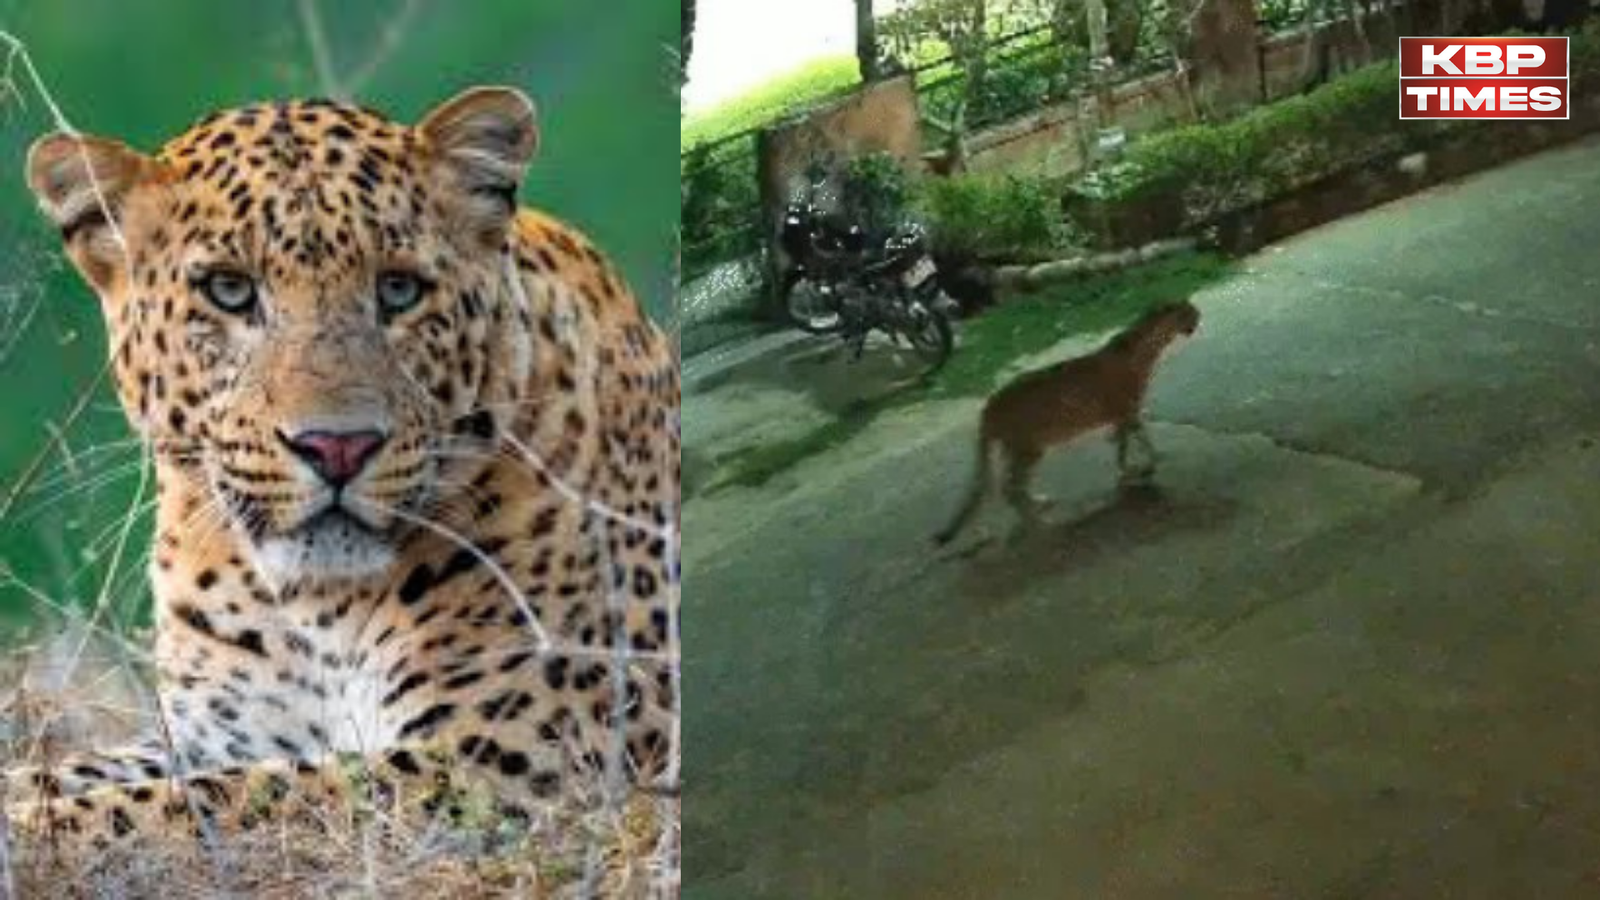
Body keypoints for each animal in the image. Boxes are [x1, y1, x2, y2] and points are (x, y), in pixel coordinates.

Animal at [10, 85, 679, 850]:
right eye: (229, 290)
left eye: (399, 290)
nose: (337, 448)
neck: (307, 608)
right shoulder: (214, 733)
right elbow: (79, 774)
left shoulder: (508, 759)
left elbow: (218, 800)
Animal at [933, 300, 1199, 545]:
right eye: (1186, 311)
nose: (1198, 316)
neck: (1150, 343)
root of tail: (989, 404)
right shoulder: (1128, 412)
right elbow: (1140, 437)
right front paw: (1151, 460)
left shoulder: (1122, 416)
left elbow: (1123, 443)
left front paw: (1127, 467)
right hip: (1028, 447)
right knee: (1011, 486)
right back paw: (1037, 515)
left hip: (1017, 448)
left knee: (1010, 484)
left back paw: (1037, 501)